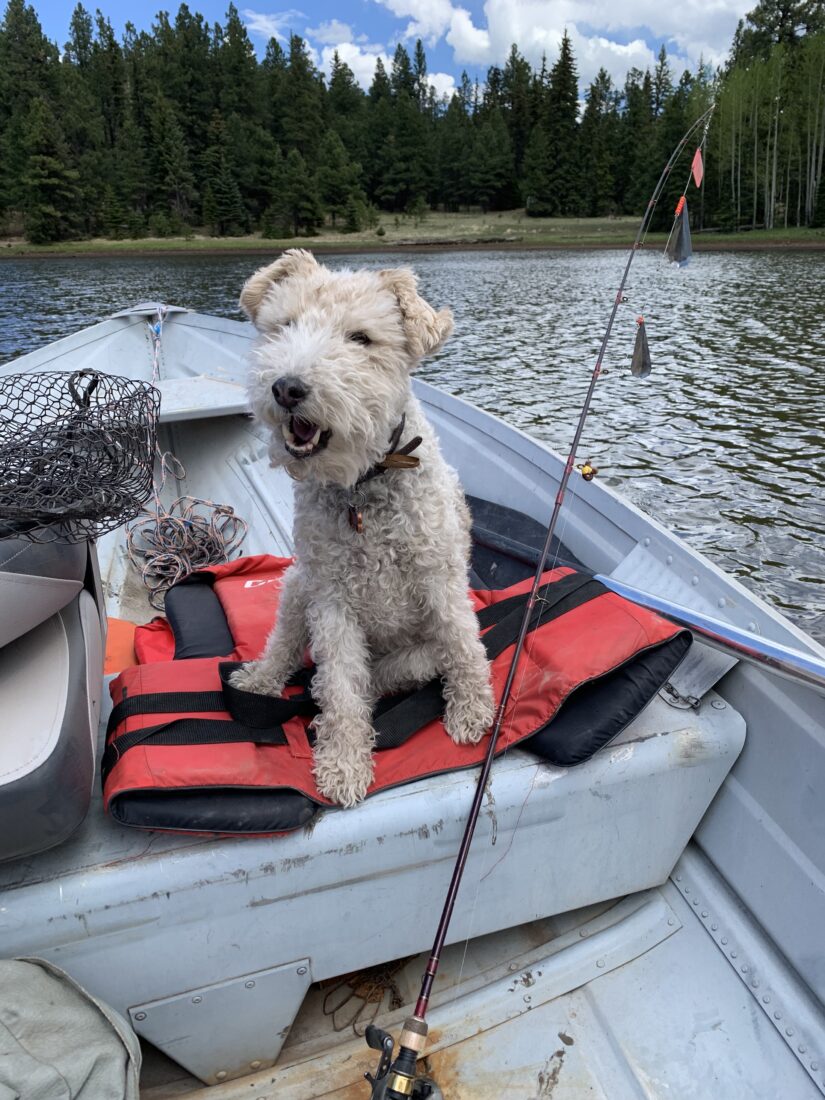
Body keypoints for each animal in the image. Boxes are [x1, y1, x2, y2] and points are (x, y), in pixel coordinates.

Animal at [229, 249, 495, 805]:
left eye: (361, 338)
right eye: (284, 326)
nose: (287, 388)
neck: (362, 483)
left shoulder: (440, 578)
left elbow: (464, 644)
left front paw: (472, 710)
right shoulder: (332, 598)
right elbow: (341, 685)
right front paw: (344, 764)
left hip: (414, 656)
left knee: (379, 677)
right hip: (298, 585)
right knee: (292, 652)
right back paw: (264, 681)